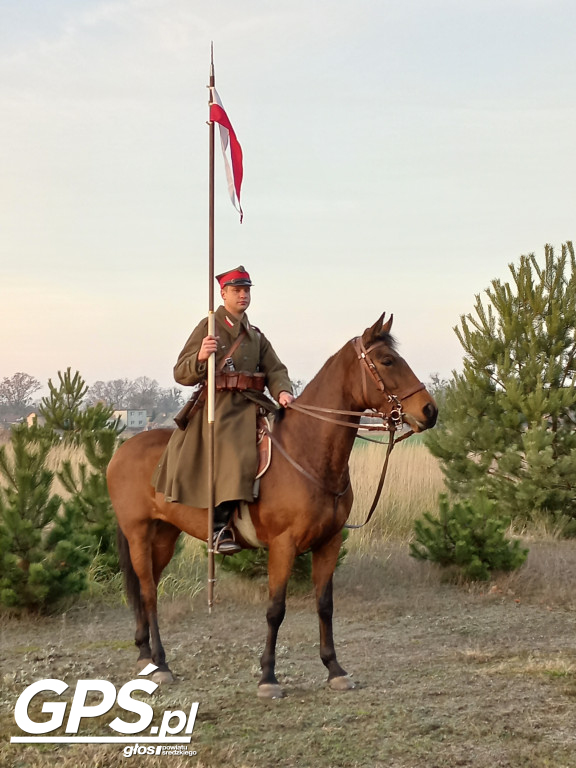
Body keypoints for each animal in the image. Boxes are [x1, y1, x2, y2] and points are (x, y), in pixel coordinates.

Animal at [107, 316, 436, 700]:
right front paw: (268, 676)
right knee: (147, 592)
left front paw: (334, 668)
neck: (307, 450)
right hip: (139, 534)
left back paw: (146, 655)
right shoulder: (283, 545)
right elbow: (276, 609)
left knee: (149, 590)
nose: (430, 411)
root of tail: (122, 450)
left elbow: (325, 605)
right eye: (387, 360)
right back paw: (160, 664)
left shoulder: (329, 543)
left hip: (164, 536)